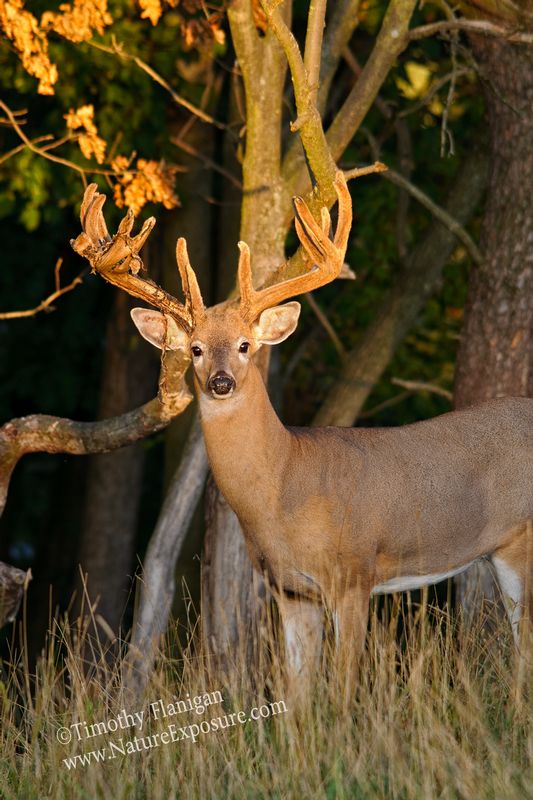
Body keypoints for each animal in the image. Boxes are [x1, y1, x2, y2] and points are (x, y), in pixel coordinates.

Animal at [72, 174, 533, 686]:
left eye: (244, 345)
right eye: (195, 348)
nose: (220, 382)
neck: (284, 486)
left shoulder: (353, 573)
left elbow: (344, 685)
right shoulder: (291, 591)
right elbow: (297, 692)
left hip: (521, 542)